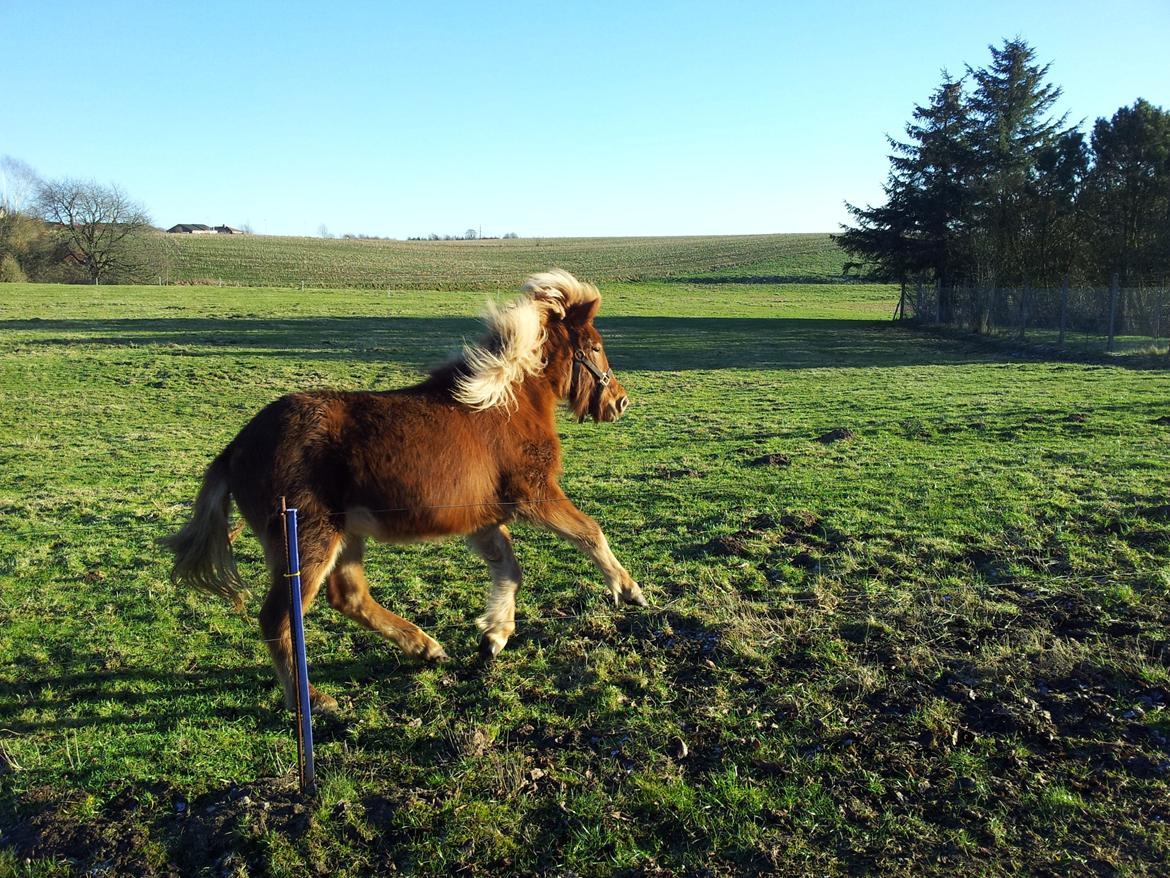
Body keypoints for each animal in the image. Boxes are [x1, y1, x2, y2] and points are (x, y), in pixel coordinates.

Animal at [161, 270, 645, 716]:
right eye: (595, 347)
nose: (619, 403)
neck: (505, 401)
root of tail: (235, 448)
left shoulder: (482, 518)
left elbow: (509, 569)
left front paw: (494, 636)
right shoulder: (534, 494)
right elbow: (588, 532)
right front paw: (629, 590)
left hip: (345, 535)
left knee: (350, 596)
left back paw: (426, 648)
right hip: (306, 538)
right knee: (279, 617)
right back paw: (313, 701)